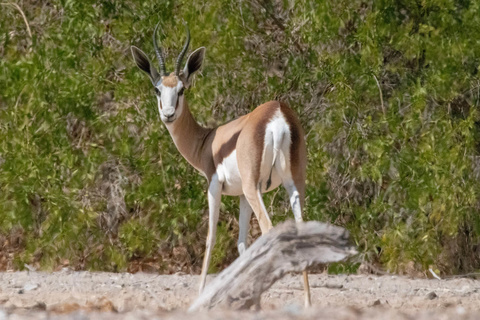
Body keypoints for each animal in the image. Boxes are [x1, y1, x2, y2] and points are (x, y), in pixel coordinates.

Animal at [131, 23, 312, 308]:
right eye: (158, 89)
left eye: (181, 89)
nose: (168, 115)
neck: (207, 140)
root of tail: (278, 114)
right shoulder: (242, 196)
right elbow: (241, 244)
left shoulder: (215, 186)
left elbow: (211, 237)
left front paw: (200, 296)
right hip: (292, 184)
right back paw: (307, 303)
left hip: (255, 189)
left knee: (269, 231)